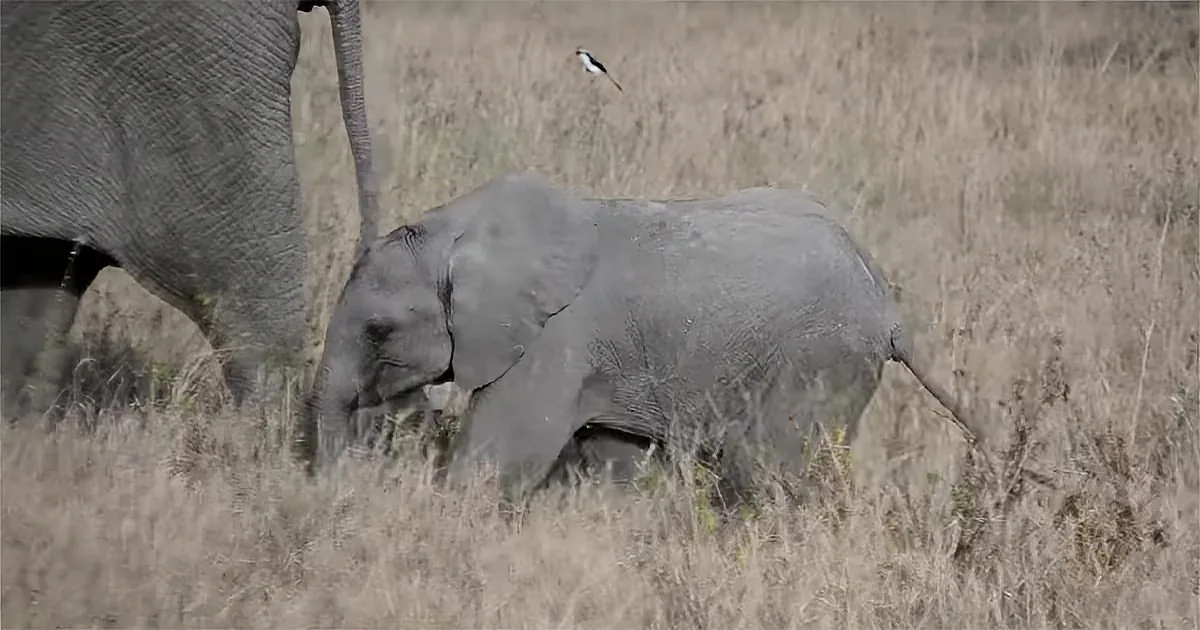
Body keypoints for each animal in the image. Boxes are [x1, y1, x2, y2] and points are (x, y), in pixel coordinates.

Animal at [302, 171, 981, 507]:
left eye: (379, 330)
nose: (335, 488)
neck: (458, 228)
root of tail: (887, 304)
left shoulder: (555, 339)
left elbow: (501, 457)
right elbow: (615, 460)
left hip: (815, 362)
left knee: (769, 474)